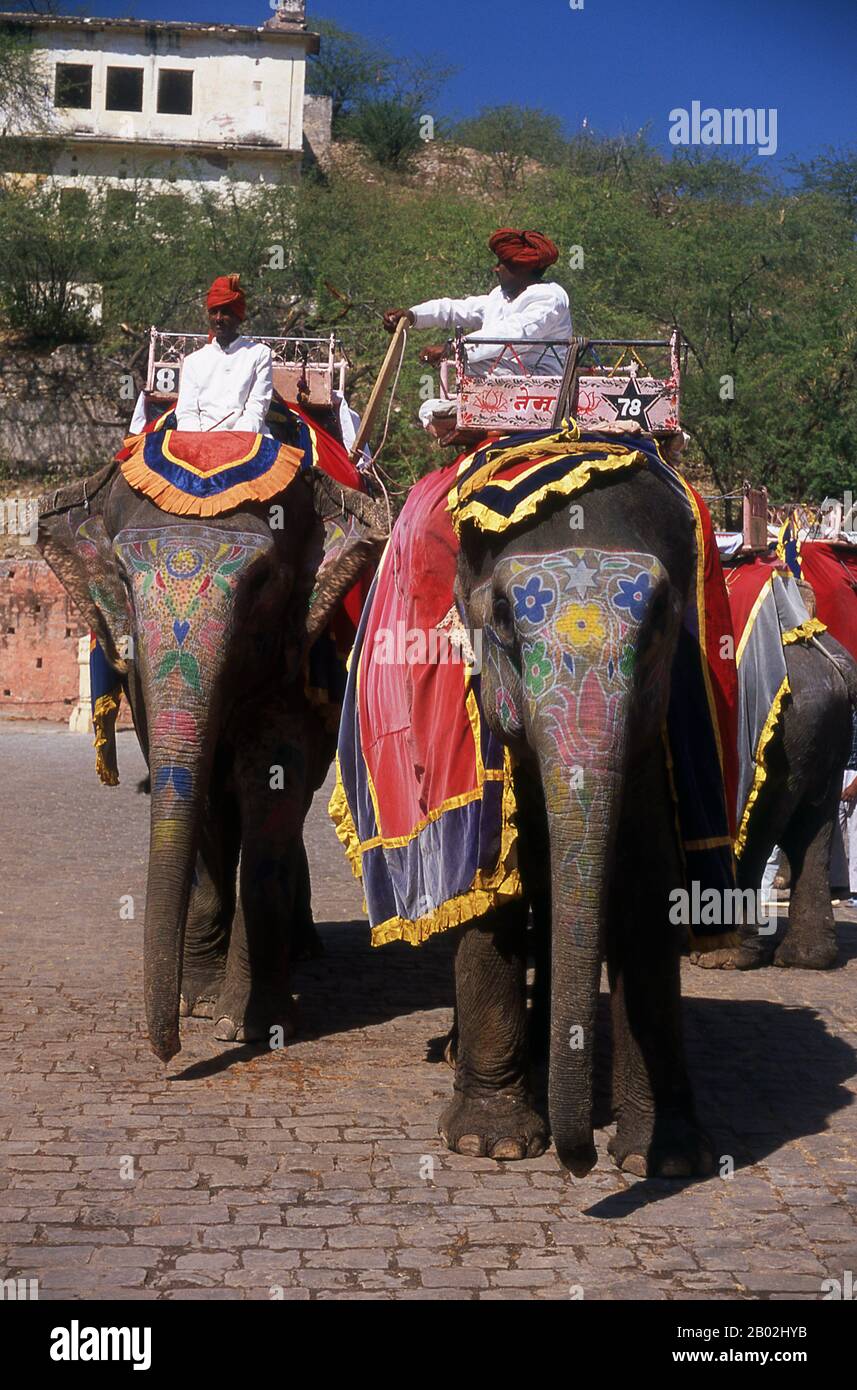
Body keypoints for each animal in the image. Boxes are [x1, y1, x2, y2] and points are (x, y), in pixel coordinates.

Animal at [39, 455, 380, 1061]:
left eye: (262, 582)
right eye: (121, 579)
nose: (169, 1052)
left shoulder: (295, 654)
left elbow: (271, 791)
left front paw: (251, 1026)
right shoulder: (139, 681)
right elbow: (198, 806)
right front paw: (196, 1003)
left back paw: (305, 949)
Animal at [447, 467, 716, 1173]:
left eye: (656, 627)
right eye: (505, 623)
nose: (581, 1160)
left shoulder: (649, 735)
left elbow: (649, 894)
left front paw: (662, 1160)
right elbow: (488, 886)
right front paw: (494, 1144)